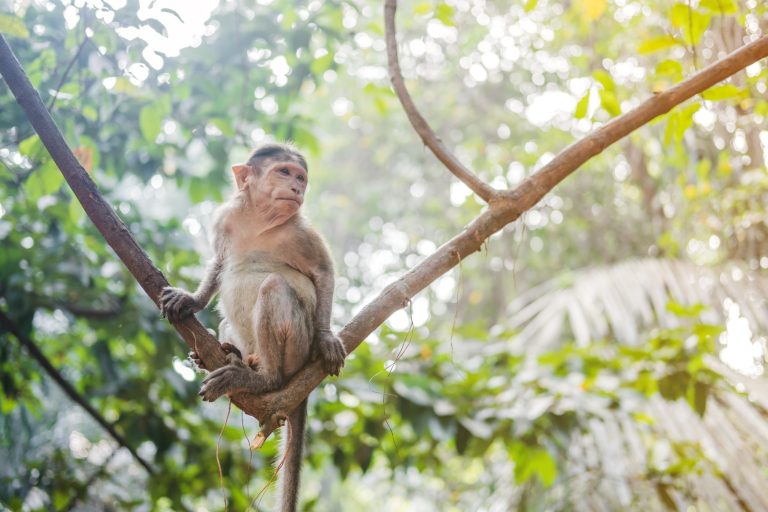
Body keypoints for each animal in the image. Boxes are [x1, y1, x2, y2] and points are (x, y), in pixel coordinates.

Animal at [159, 142, 344, 512]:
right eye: (284, 172)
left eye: (300, 177)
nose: (297, 189)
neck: (260, 219)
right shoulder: (225, 218)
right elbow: (219, 261)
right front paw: (192, 300)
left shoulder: (301, 231)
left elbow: (323, 272)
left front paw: (326, 338)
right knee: (229, 320)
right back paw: (232, 355)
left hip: (296, 351)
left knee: (273, 287)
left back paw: (263, 378)